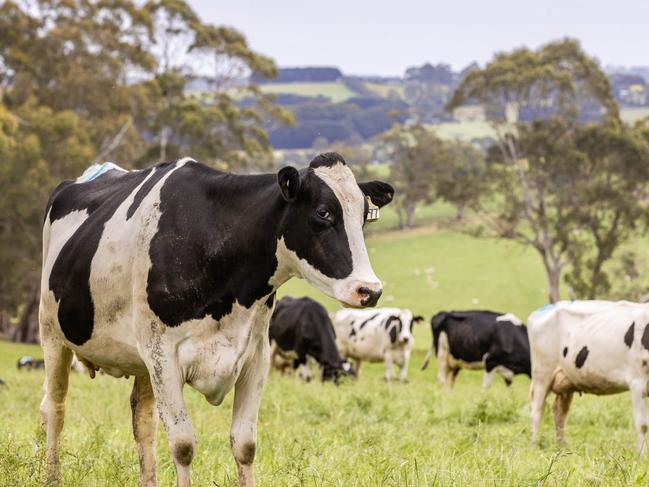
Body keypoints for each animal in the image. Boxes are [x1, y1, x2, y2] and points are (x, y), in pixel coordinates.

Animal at [41, 151, 394, 486]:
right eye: (323, 212)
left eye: (364, 216)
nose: (370, 290)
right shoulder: (163, 356)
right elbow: (183, 445)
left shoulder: (255, 357)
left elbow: (245, 444)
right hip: (52, 335)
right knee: (55, 407)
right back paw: (52, 476)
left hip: (141, 363)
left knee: (142, 420)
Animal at [528, 302, 649, 454]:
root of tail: (547, 307)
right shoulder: (637, 382)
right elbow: (642, 424)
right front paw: (642, 455)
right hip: (542, 373)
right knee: (537, 411)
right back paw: (533, 447)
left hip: (566, 381)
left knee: (559, 411)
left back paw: (562, 447)